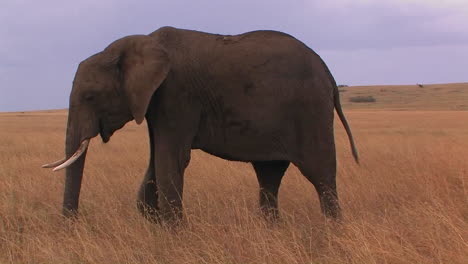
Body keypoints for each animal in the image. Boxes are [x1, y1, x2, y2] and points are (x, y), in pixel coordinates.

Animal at [44, 26, 358, 223]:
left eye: (90, 96)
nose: (72, 225)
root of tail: (328, 72)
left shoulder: (176, 94)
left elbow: (170, 162)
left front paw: (173, 236)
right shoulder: (155, 103)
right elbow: (156, 162)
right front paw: (156, 225)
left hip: (310, 111)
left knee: (321, 176)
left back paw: (332, 232)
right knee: (269, 175)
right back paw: (273, 231)